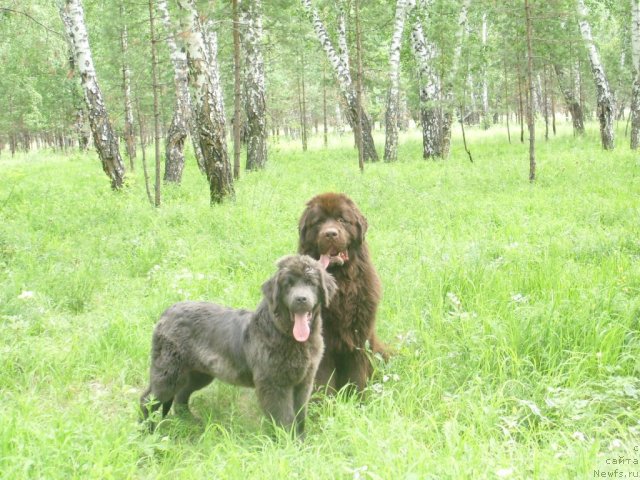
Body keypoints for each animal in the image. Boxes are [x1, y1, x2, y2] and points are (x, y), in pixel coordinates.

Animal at [139, 255, 338, 438]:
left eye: (311, 283)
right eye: (287, 284)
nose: (301, 299)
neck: (285, 334)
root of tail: (166, 313)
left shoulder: (304, 382)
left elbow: (300, 415)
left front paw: (301, 441)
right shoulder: (274, 384)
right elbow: (284, 418)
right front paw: (286, 443)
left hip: (198, 373)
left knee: (181, 395)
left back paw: (189, 422)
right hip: (169, 371)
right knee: (148, 399)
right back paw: (146, 431)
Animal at [296, 192, 384, 394]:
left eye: (342, 220)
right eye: (319, 222)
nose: (330, 233)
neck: (340, 283)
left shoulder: (359, 336)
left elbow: (357, 374)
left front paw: (357, 398)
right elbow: (322, 380)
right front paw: (324, 401)